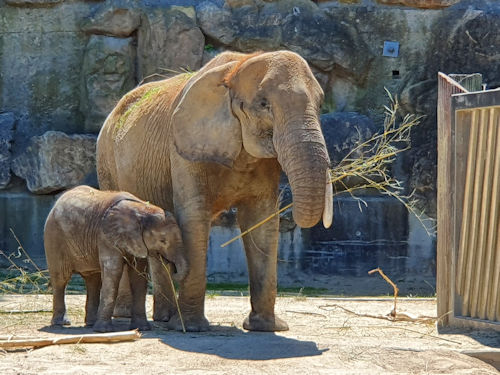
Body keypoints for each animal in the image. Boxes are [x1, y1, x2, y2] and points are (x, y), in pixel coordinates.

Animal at [44, 187, 186, 334]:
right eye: (163, 241)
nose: (170, 264)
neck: (143, 209)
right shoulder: (106, 237)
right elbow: (114, 272)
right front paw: (103, 331)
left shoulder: (137, 242)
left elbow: (139, 276)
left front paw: (143, 328)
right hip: (54, 237)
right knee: (61, 279)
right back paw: (61, 323)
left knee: (93, 280)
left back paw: (90, 324)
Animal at [96, 50, 334, 332]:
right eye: (263, 104)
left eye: (320, 104)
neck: (239, 65)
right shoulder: (183, 148)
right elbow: (194, 214)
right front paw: (192, 327)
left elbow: (262, 218)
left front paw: (266, 328)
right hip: (106, 158)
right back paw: (129, 317)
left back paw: (164, 317)